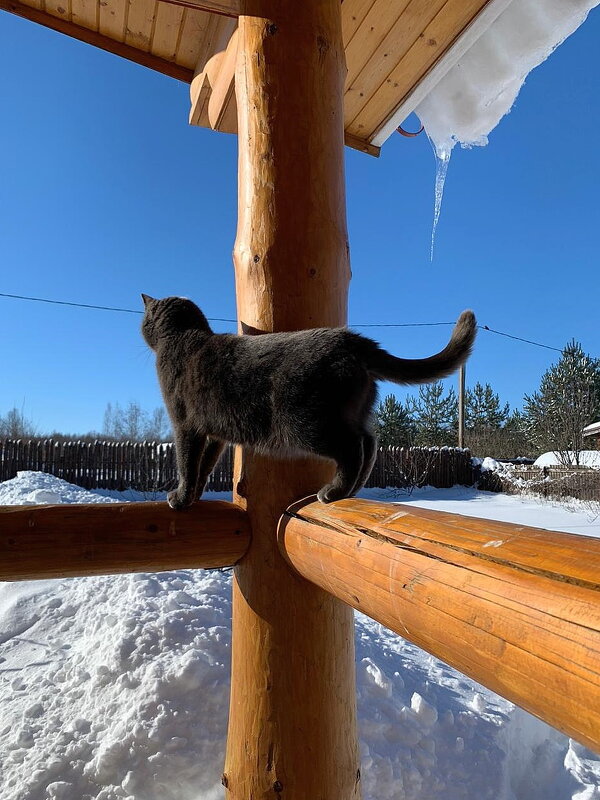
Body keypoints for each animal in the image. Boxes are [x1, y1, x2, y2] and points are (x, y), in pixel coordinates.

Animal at [141, 296, 474, 510]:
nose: (142, 324)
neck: (183, 336)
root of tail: (351, 339)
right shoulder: (214, 433)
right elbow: (205, 465)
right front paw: (195, 496)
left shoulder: (184, 424)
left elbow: (187, 462)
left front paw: (180, 499)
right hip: (353, 411)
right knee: (370, 440)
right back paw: (352, 491)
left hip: (304, 424)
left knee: (352, 447)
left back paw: (333, 492)